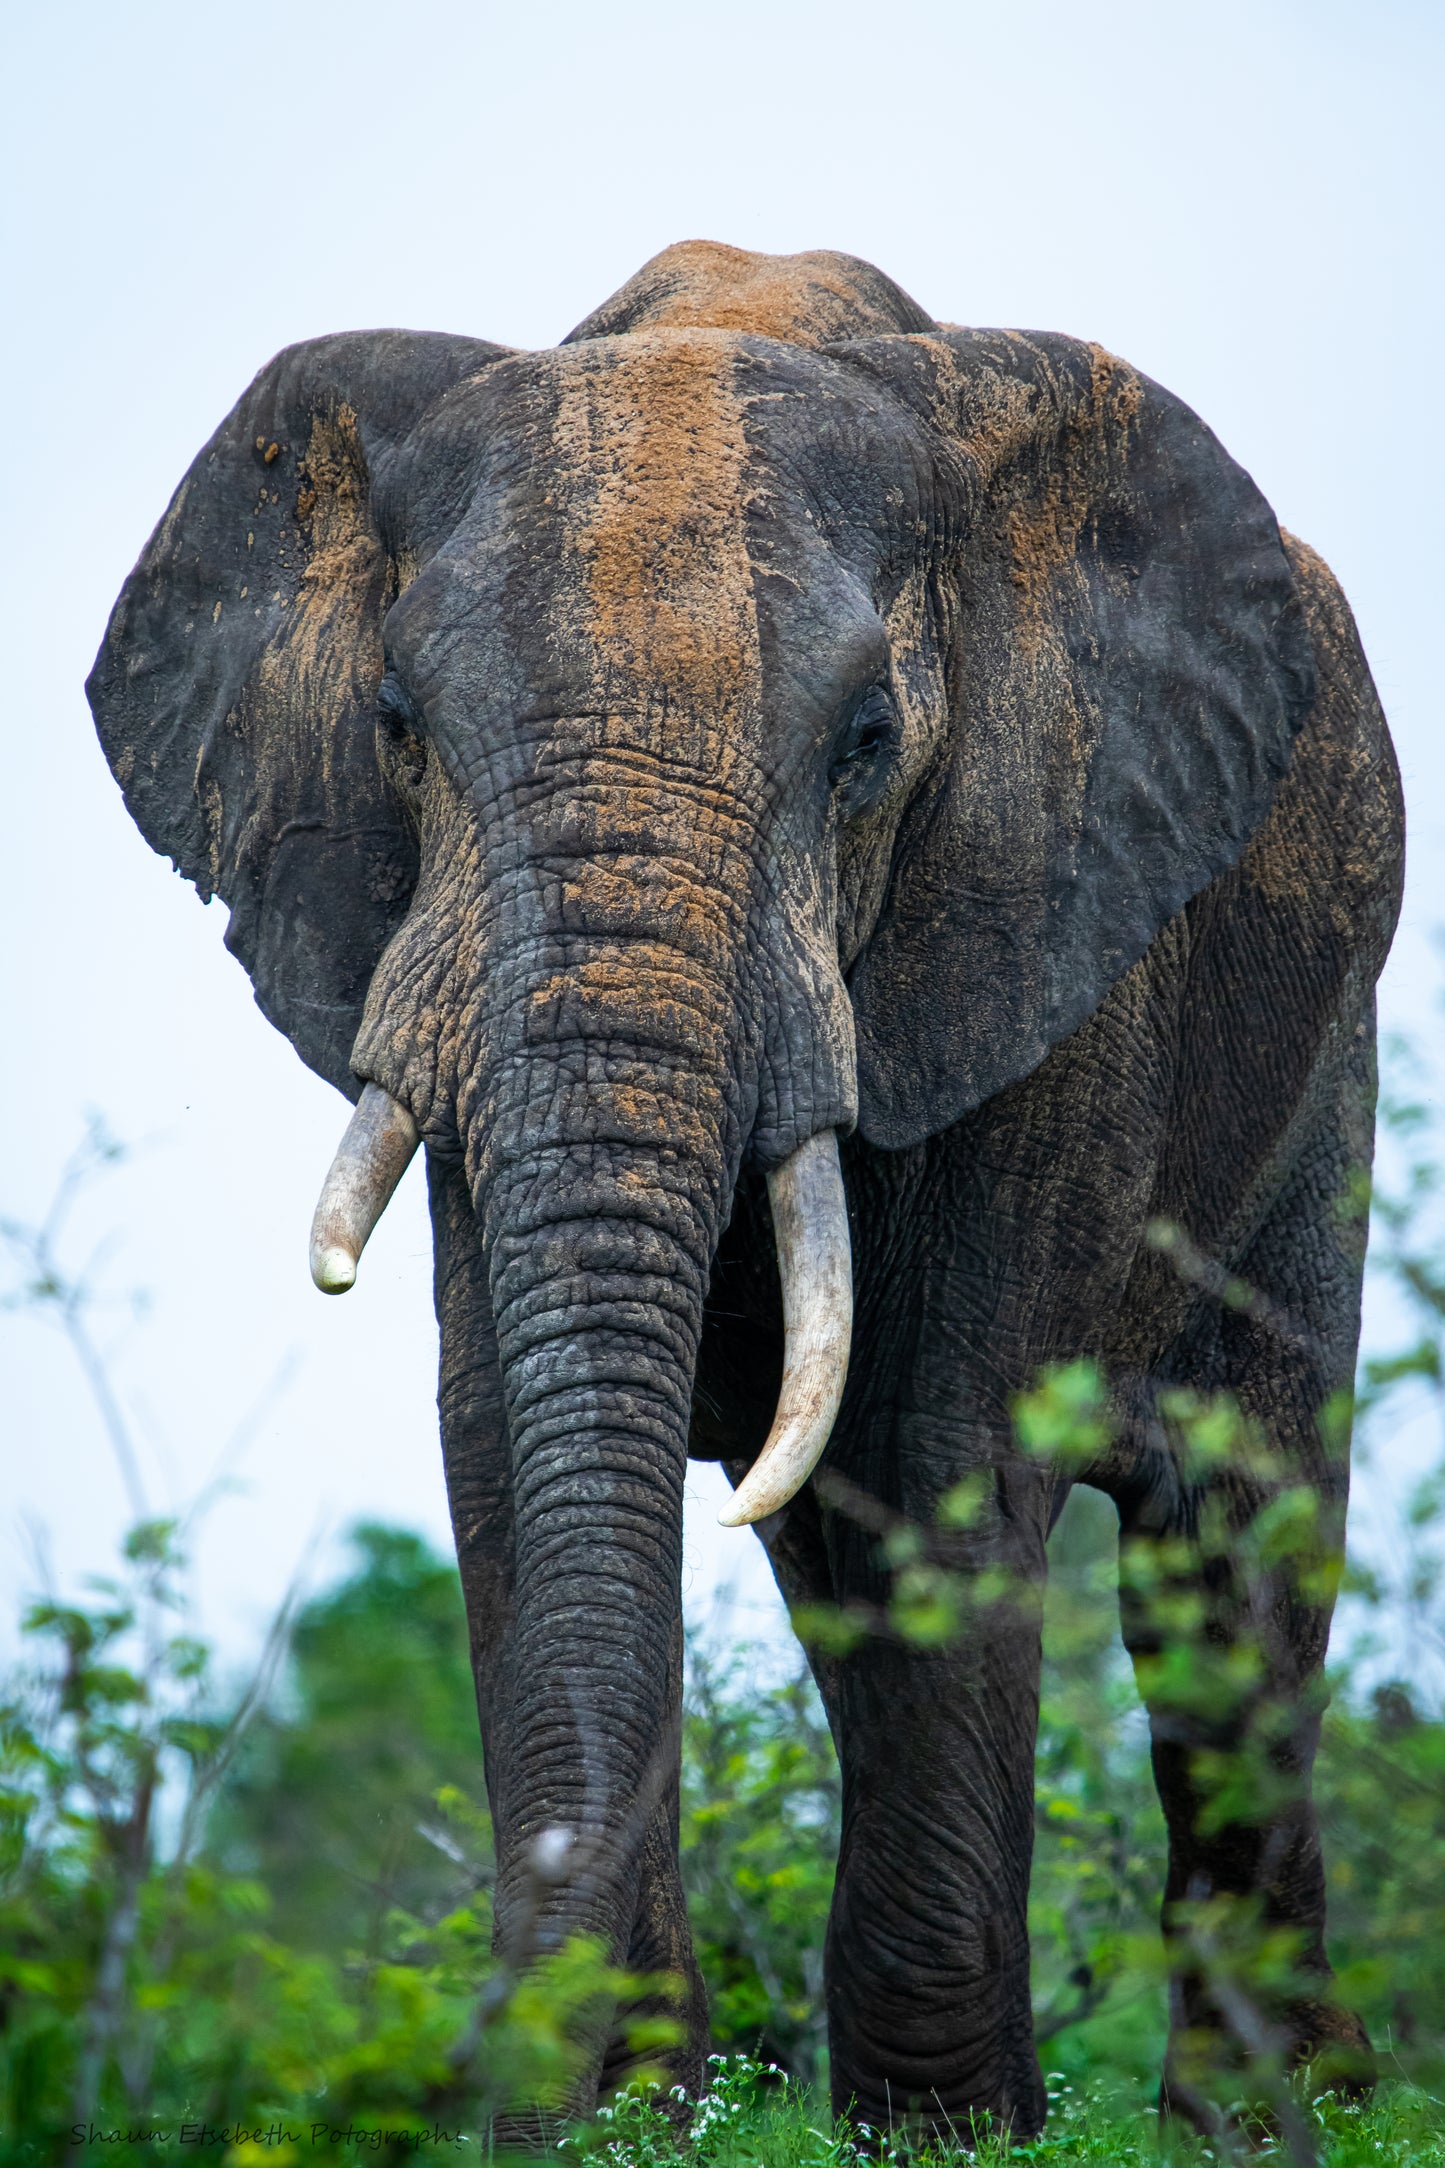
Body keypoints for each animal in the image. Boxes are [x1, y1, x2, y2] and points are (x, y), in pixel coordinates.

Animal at [88, 240, 1402, 2137]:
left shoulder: (1045, 923)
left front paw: (943, 2137)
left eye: (866, 741)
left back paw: (1272, 2116)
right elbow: (507, 1444)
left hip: (1324, 1053)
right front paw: (610, 2124)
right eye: (398, 725)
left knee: (1237, 1542)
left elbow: (943, 1449)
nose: (567, 2082)